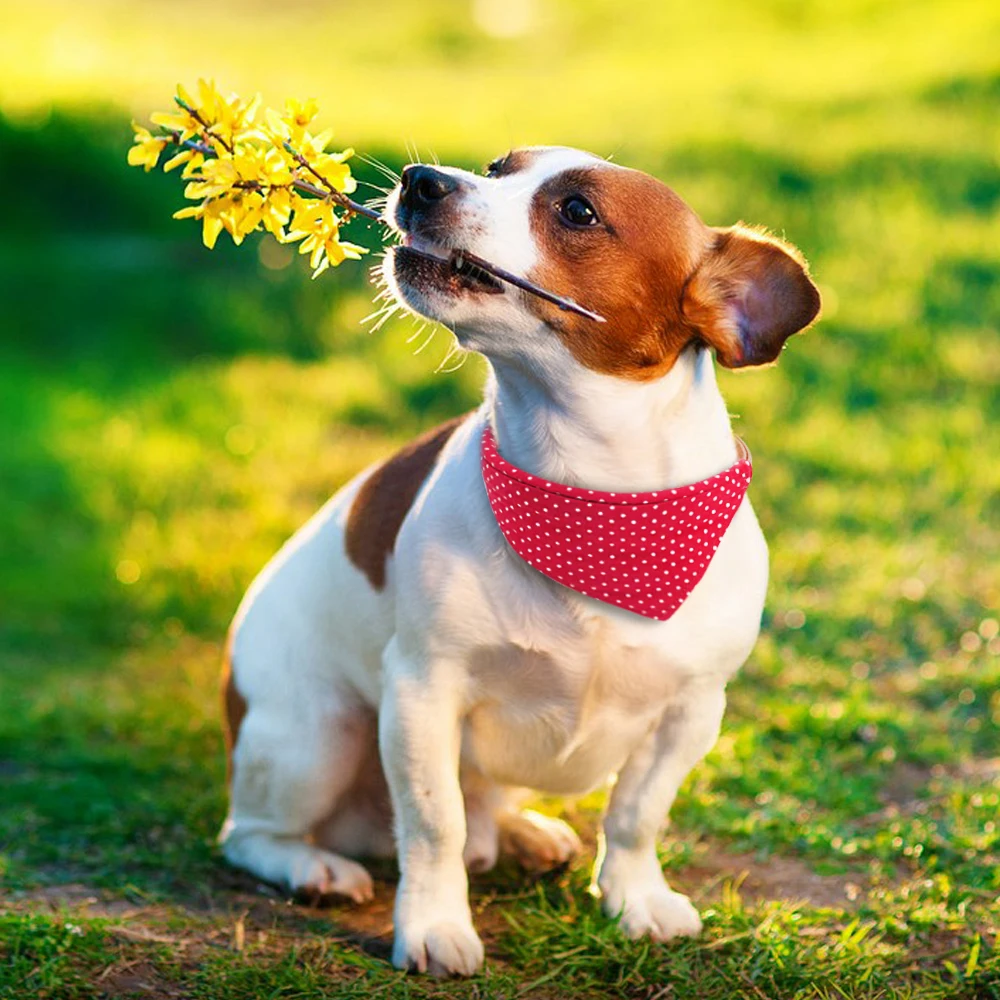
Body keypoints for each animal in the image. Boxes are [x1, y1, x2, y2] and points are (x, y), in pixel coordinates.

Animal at [221, 148, 820, 976]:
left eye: (577, 211)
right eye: (495, 167)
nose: (421, 179)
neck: (591, 502)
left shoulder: (691, 712)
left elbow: (636, 815)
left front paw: (635, 898)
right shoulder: (423, 693)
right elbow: (432, 824)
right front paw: (434, 926)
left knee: (482, 806)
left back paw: (522, 833)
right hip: (315, 735)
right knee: (253, 834)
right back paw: (315, 867)